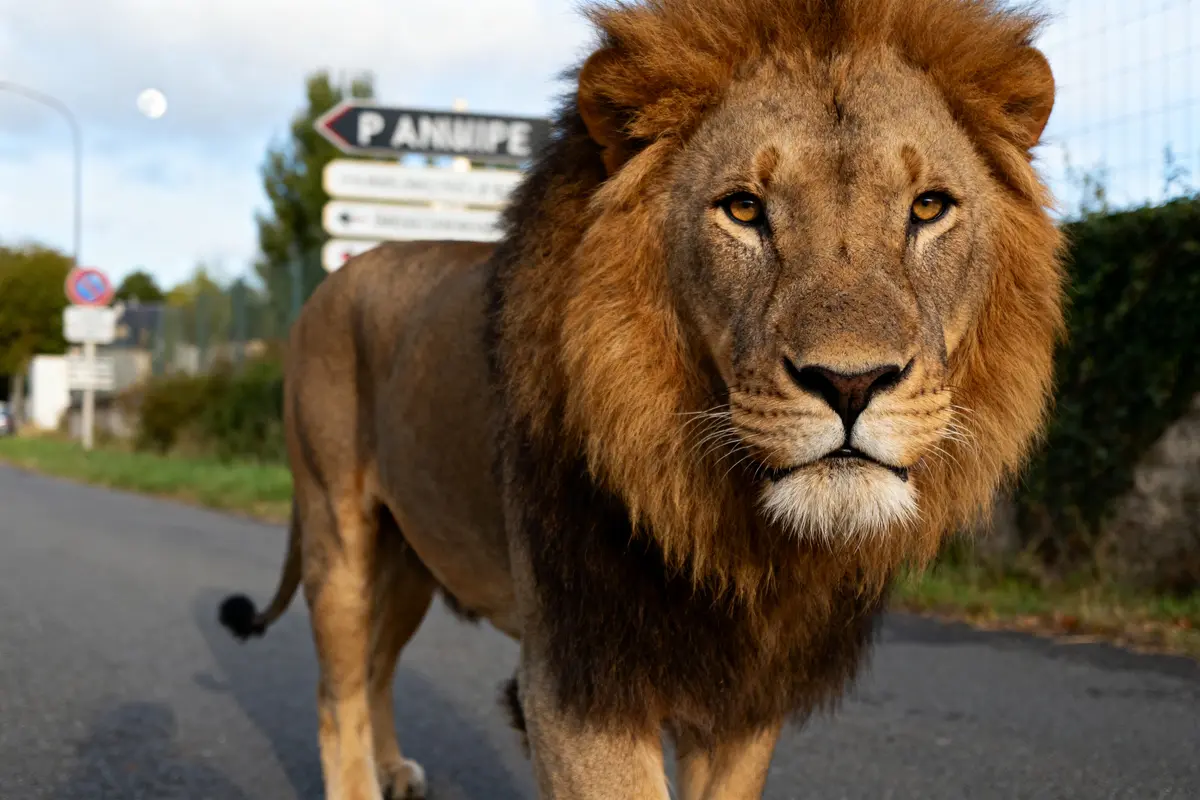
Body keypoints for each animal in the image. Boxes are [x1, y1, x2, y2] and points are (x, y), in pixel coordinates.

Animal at [218, 0, 1065, 797]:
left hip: (415, 555)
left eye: (928, 208)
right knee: (336, 691)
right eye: (744, 209)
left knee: (376, 666)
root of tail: (332, 282)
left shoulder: (744, 699)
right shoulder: (578, 681)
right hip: (338, 530)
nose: (851, 383)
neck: (727, 525)